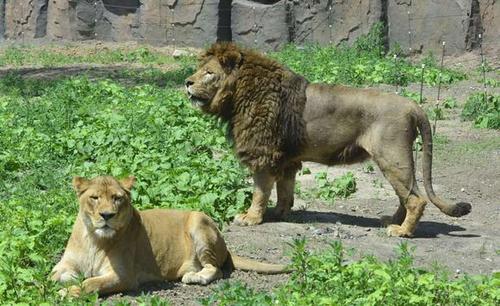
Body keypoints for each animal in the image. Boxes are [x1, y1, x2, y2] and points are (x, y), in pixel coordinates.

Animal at [51, 176, 286, 296]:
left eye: (117, 198)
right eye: (95, 198)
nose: (107, 215)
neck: (94, 239)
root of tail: (225, 246)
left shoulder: (123, 276)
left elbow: (91, 283)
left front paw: (68, 292)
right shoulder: (64, 265)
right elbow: (53, 276)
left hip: (198, 220)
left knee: (216, 269)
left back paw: (195, 277)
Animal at [186, 41, 470, 238]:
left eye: (208, 73)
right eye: (199, 70)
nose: (186, 82)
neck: (238, 96)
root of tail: (413, 105)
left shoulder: (263, 154)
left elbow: (259, 192)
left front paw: (251, 218)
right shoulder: (285, 159)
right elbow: (284, 190)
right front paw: (280, 213)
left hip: (392, 157)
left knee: (415, 198)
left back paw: (402, 231)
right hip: (393, 160)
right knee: (406, 195)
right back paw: (391, 221)